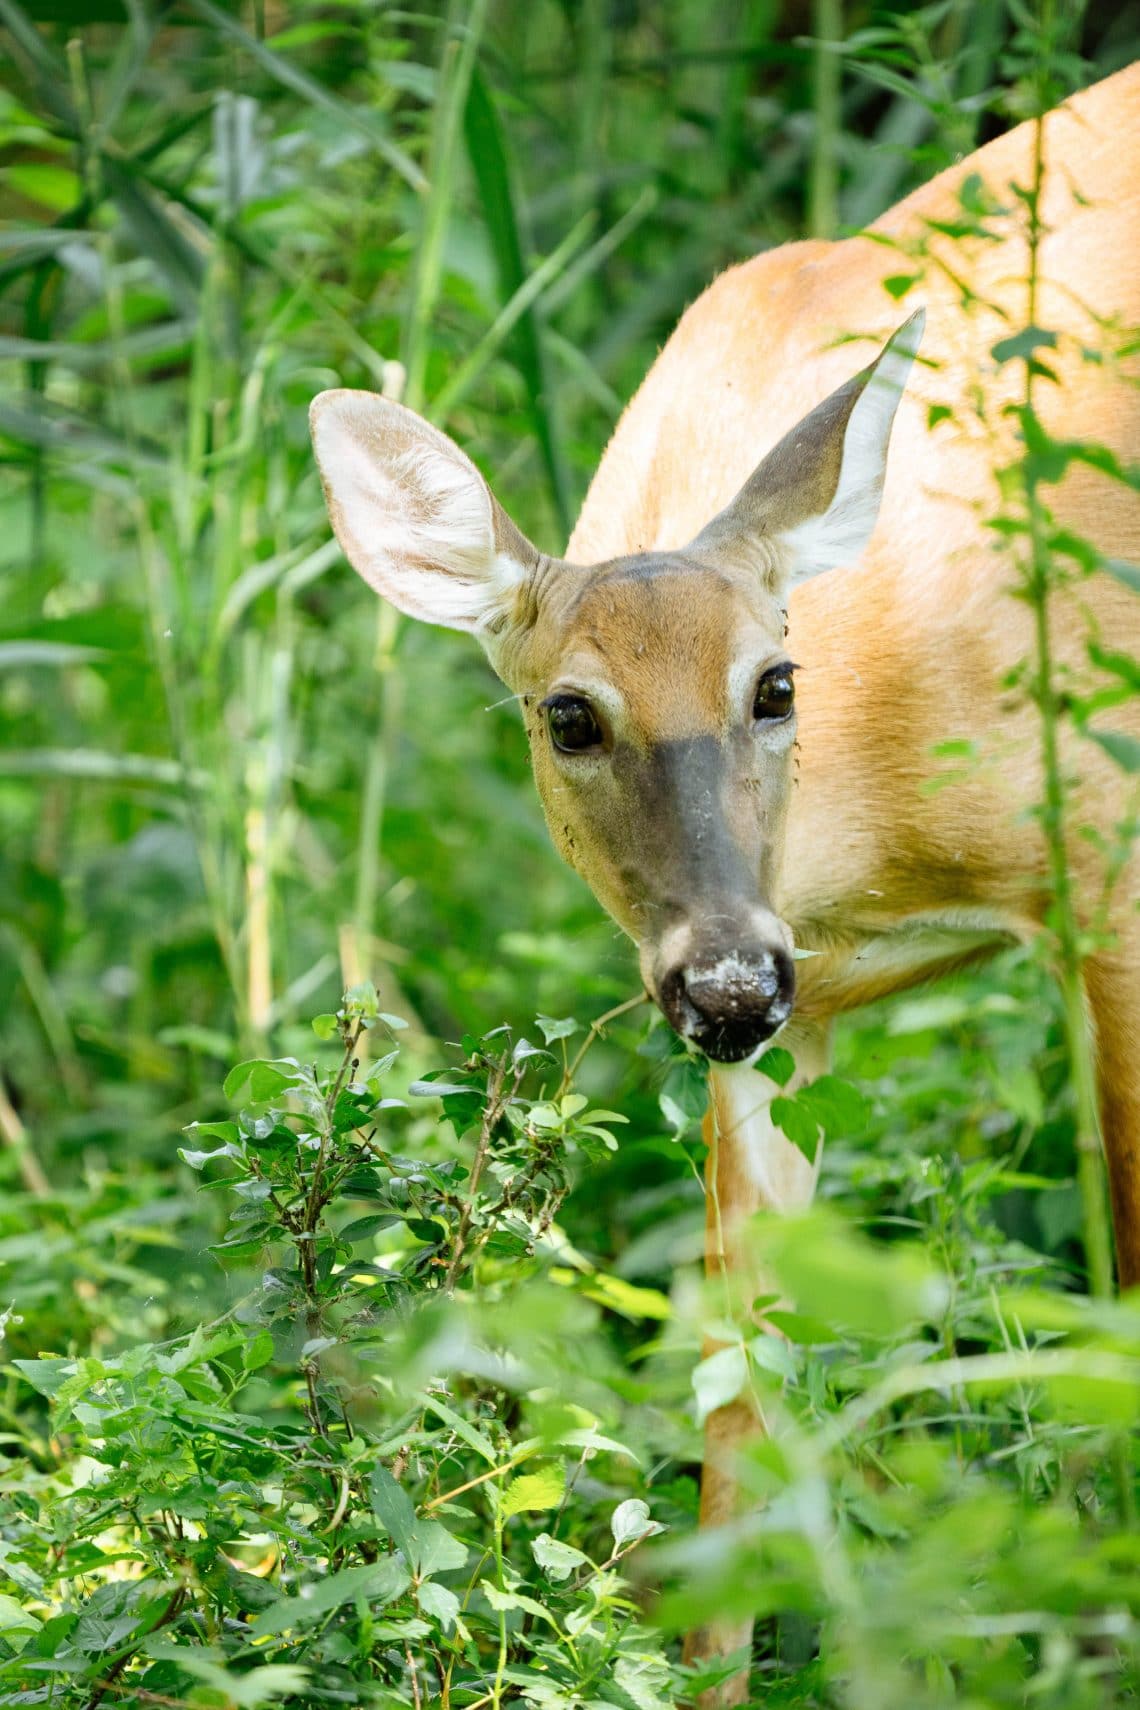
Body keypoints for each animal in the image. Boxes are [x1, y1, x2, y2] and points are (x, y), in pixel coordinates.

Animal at [311, 63, 1140, 1700]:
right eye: (568, 715)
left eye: (774, 681)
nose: (728, 976)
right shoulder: (785, 1025)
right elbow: (735, 1415)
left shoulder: (1114, 861)